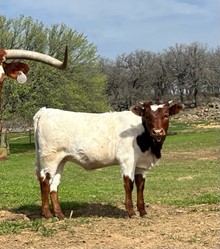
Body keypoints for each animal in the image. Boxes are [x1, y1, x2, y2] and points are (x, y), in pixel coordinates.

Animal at [34, 100, 182, 218]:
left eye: (166, 115)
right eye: (147, 116)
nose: (157, 132)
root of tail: (45, 111)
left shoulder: (141, 164)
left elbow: (141, 185)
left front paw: (143, 211)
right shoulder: (127, 160)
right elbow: (129, 184)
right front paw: (131, 212)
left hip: (60, 160)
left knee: (54, 185)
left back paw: (59, 214)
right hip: (50, 157)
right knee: (45, 181)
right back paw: (47, 214)